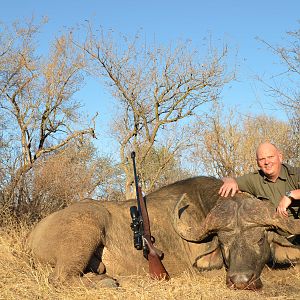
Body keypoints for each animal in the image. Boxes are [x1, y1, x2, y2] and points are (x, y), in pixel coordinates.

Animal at [27, 177, 300, 290]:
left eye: (260, 239)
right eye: (224, 243)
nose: (241, 280)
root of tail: (34, 234)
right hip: (88, 226)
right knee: (60, 277)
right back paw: (106, 282)